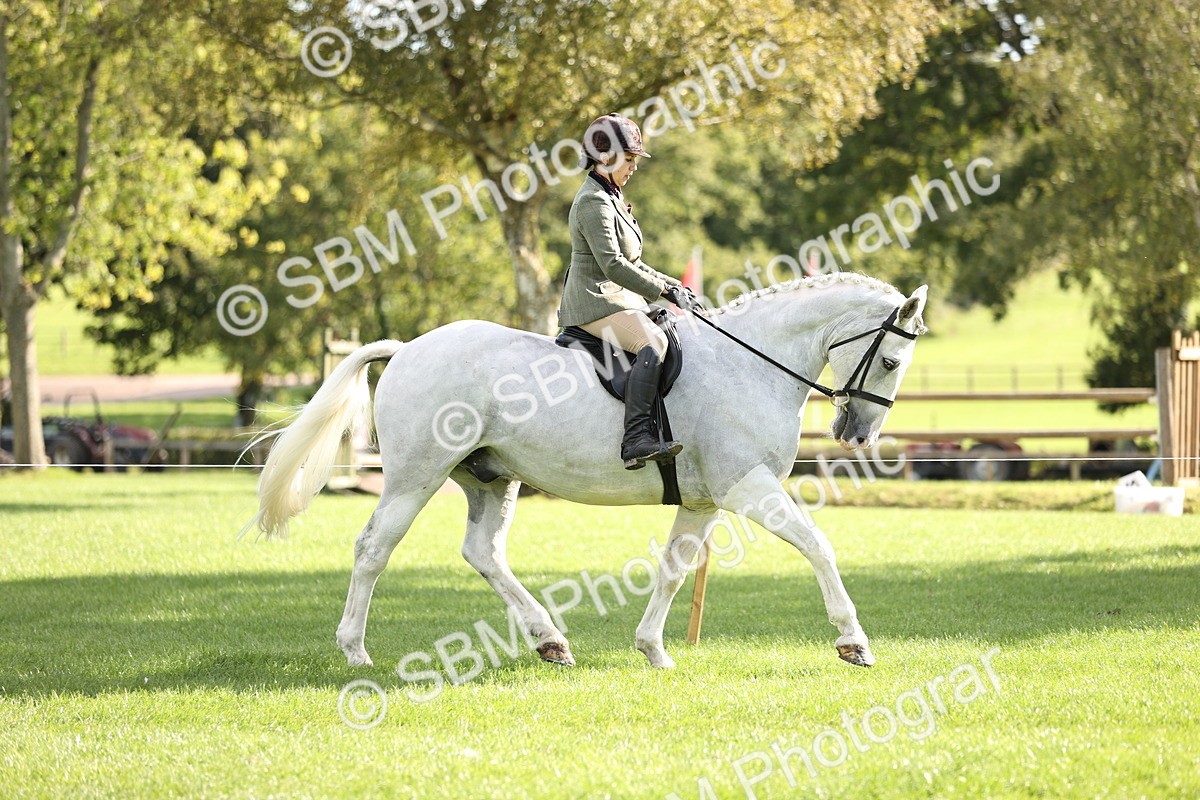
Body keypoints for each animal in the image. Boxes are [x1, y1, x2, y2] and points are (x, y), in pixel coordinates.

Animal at [245, 273, 928, 671]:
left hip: (490, 477)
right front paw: (853, 641)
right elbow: (818, 545)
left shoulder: (704, 501)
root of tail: (409, 347)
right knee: (373, 548)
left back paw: (550, 640)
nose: (859, 434)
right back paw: (355, 651)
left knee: (482, 551)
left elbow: (674, 570)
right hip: (416, 477)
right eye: (892, 360)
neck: (751, 364)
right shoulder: (747, 486)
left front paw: (653, 650)